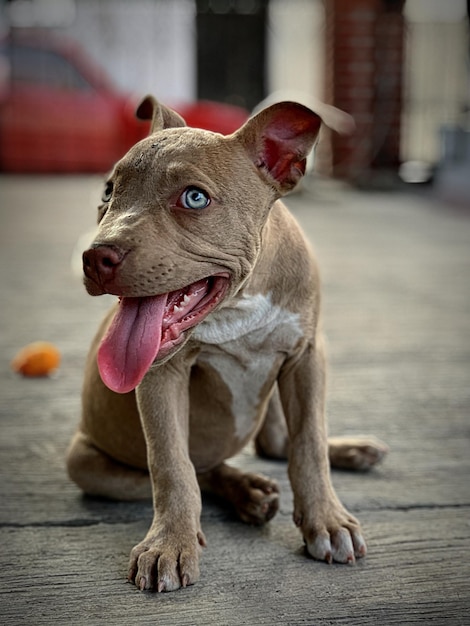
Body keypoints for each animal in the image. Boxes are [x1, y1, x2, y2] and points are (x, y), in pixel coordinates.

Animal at [67, 96, 390, 588]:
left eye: (194, 197)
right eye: (108, 191)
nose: (94, 257)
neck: (238, 307)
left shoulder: (306, 357)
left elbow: (309, 442)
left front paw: (328, 521)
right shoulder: (161, 372)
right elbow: (172, 464)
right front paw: (169, 545)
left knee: (277, 443)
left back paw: (349, 450)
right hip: (85, 464)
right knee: (202, 469)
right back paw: (247, 490)